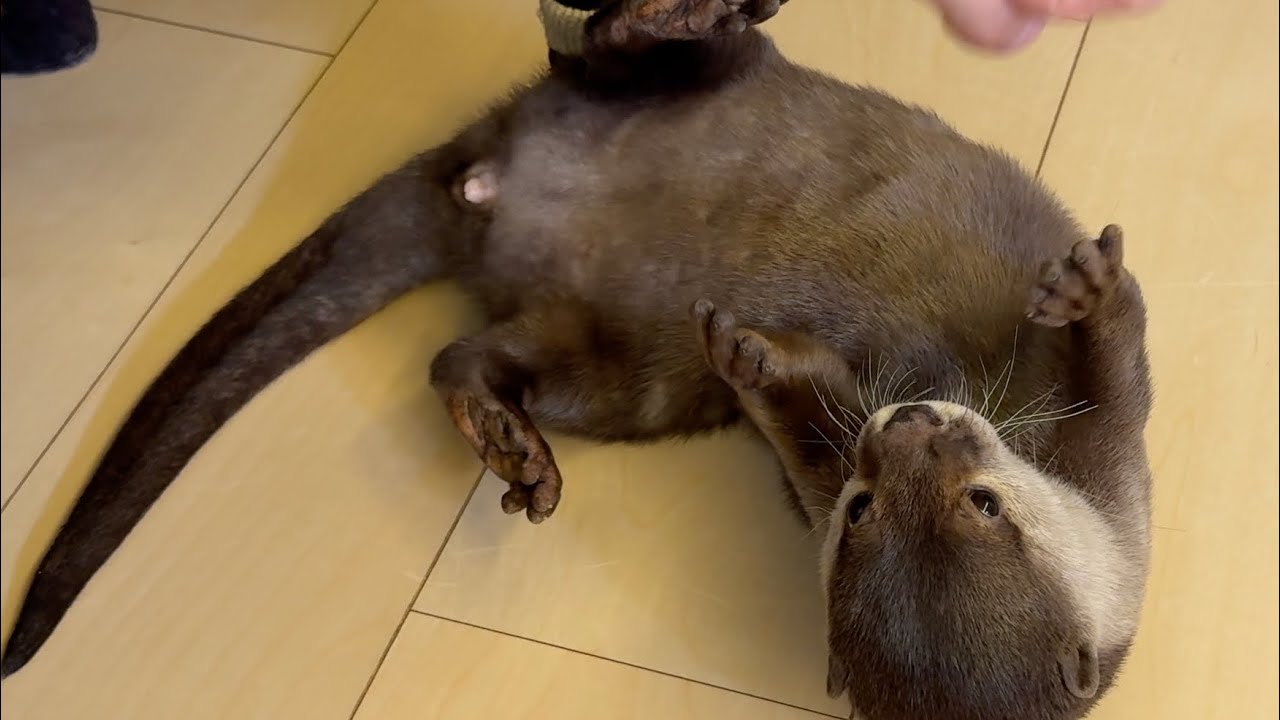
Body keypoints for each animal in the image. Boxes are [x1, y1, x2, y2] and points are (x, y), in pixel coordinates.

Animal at [0, 1, 1154, 718]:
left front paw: (758, 362)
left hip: (615, 368)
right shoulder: (1097, 457)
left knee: (463, 355)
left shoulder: (1101, 485)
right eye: (869, 508)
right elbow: (1115, 365)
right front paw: (1086, 291)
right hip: (641, 103)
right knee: (615, 50)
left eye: (977, 504)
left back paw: (510, 444)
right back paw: (683, 14)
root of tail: (490, 184)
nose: (909, 424)